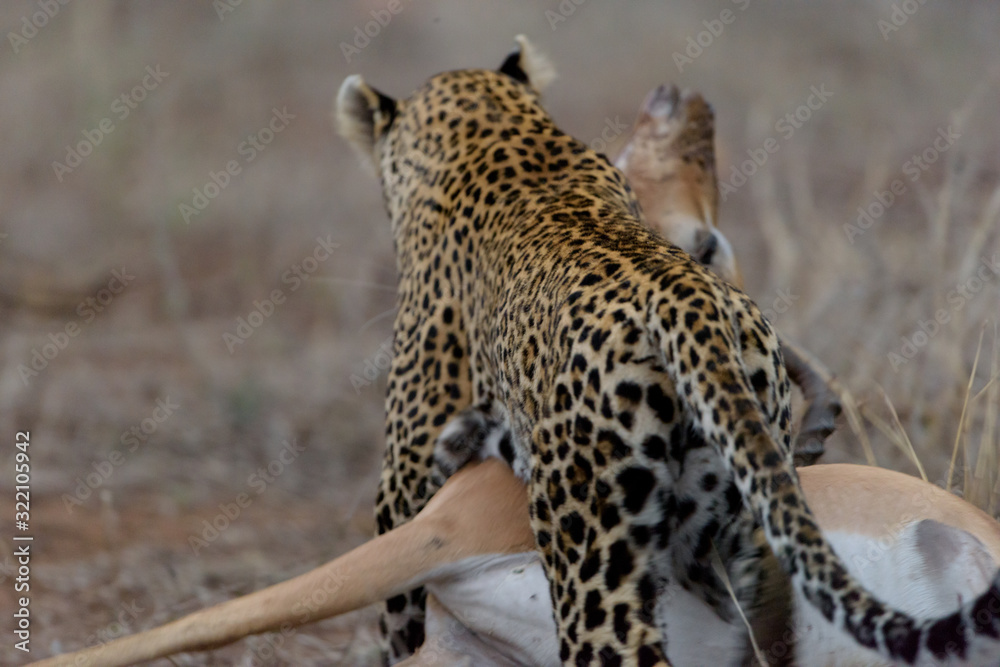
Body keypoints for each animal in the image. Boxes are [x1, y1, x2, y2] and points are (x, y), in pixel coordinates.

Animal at [337, 36, 1000, 666]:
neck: (492, 123)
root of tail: (689, 300)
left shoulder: (408, 466)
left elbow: (401, 609)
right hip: (732, 518)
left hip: (590, 545)